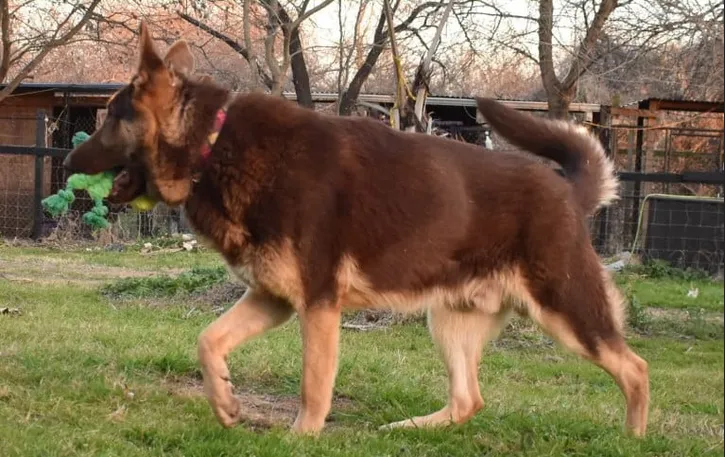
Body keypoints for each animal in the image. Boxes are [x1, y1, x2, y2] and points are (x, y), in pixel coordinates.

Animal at [63, 23, 652, 436]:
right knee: (469, 400)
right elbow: (208, 339)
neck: (213, 144)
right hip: (450, 320)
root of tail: (567, 191)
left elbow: (313, 386)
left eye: (110, 116)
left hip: (568, 312)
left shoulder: (318, 305)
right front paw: (226, 402)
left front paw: (299, 439)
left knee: (636, 368)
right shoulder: (273, 298)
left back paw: (632, 438)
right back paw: (411, 430)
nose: (68, 156)